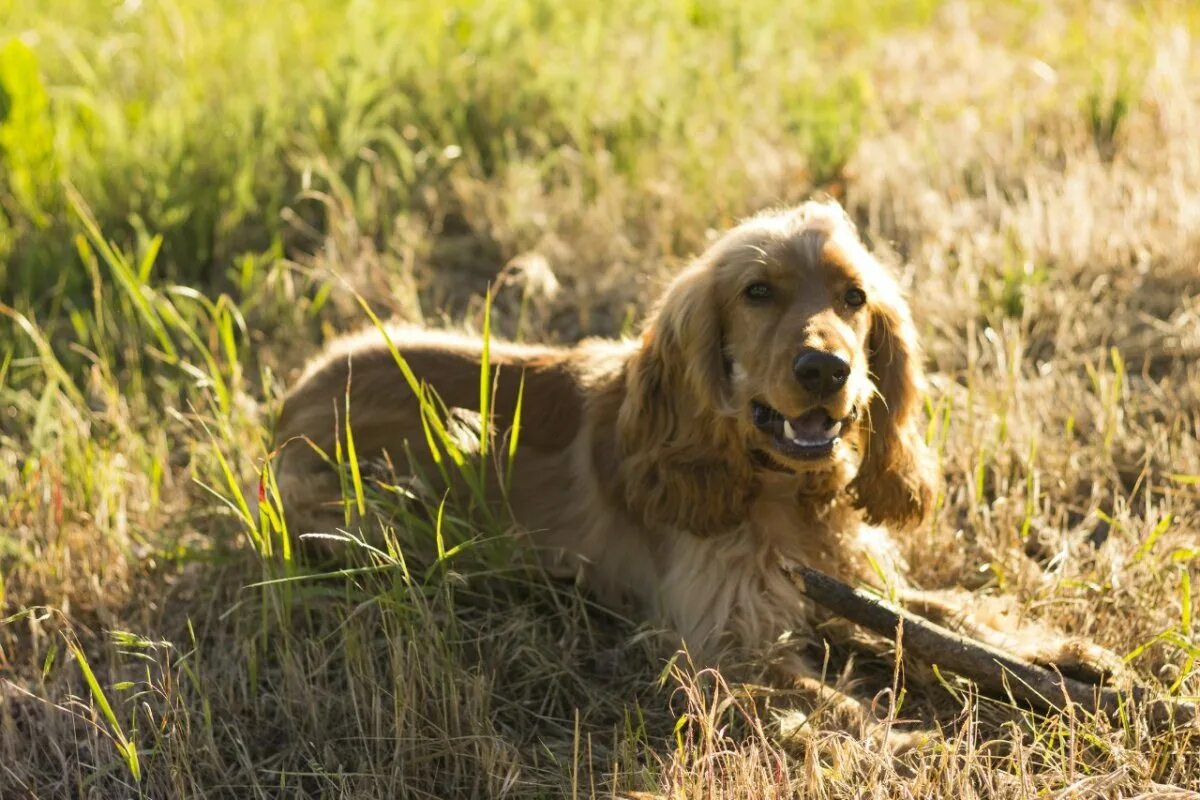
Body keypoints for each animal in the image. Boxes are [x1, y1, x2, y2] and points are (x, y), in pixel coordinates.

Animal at [274, 203, 1123, 743]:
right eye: (758, 292)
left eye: (854, 297)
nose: (826, 370)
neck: (778, 488)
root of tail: (293, 392)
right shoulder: (720, 641)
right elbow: (829, 698)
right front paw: (905, 743)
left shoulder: (842, 576)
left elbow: (946, 612)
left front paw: (1064, 658)